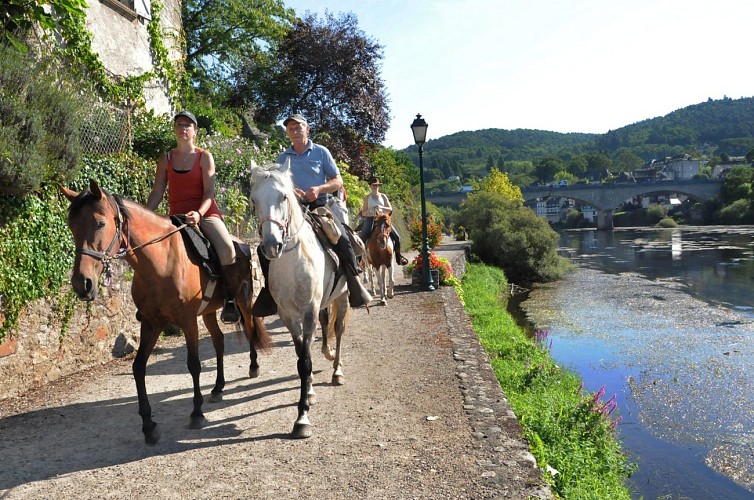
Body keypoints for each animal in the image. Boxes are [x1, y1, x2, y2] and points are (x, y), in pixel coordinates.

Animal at [61, 180, 268, 446]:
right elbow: (138, 367)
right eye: (71, 226)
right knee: (219, 342)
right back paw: (218, 387)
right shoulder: (151, 323)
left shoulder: (188, 321)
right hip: (209, 312)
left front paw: (197, 413)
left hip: (242, 299)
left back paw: (253, 366)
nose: (82, 284)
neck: (159, 262)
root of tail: (239, 243)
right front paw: (149, 426)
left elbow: (194, 365)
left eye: (100, 223)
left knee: (250, 327)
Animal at [250, 162, 350, 440]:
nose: (271, 245)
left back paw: (337, 370)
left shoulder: (309, 311)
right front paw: (309, 396)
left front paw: (302, 418)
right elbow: (300, 358)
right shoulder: (289, 316)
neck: (292, 262)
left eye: (284, 196)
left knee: (338, 330)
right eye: (253, 200)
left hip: (343, 297)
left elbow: (305, 361)